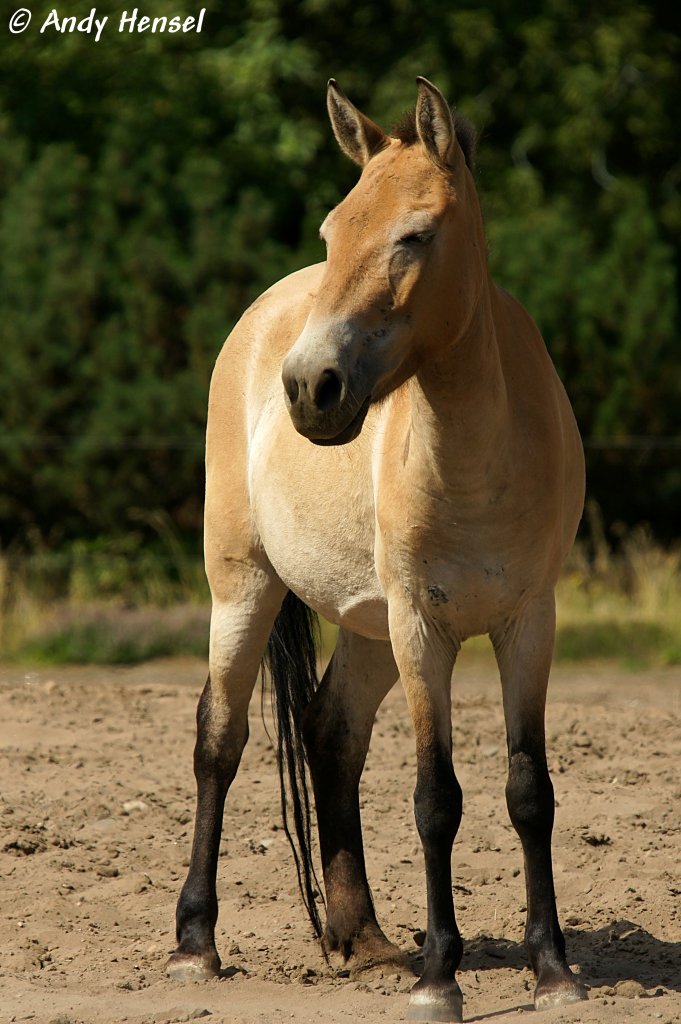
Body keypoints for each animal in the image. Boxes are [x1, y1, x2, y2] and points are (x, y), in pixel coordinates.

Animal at [166, 77, 588, 1023]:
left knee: (331, 734)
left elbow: (527, 790)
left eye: (414, 235)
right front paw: (441, 980)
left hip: (365, 626)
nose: (308, 389)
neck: (477, 458)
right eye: (331, 233)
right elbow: (436, 799)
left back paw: (363, 941)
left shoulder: (527, 622)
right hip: (244, 590)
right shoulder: (422, 628)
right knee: (219, 739)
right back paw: (196, 944)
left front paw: (551, 967)